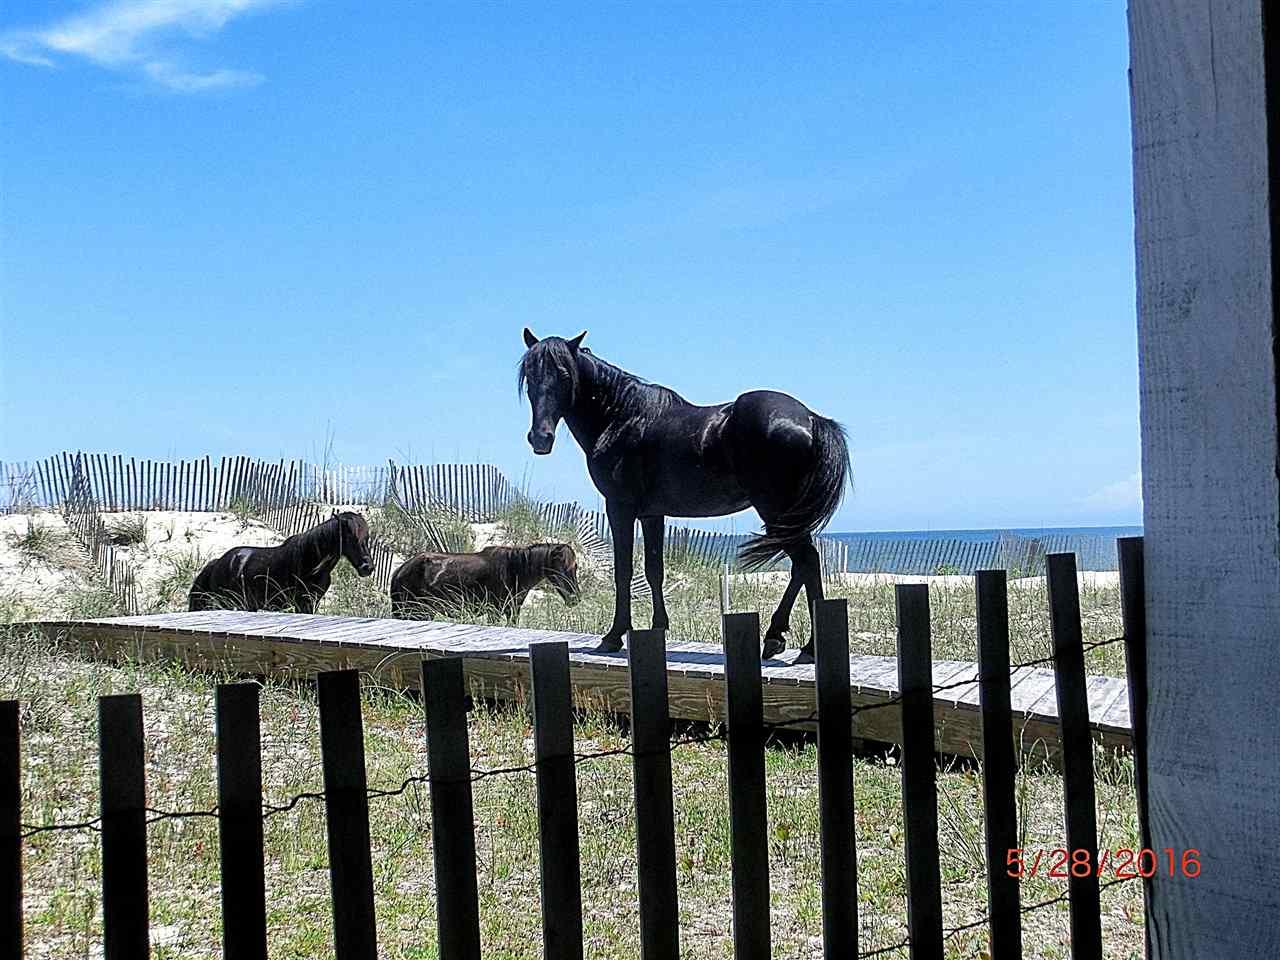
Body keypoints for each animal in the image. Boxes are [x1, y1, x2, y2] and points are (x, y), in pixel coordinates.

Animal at [386, 545, 583, 627]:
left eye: (575, 567)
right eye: (562, 569)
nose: (575, 598)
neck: (515, 569)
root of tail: (400, 570)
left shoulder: (512, 612)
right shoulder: (493, 612)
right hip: (415, 612)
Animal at [519, 330, 849, 660]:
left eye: (564, 375)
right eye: (530, 375)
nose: (540, 438)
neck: (620, 419)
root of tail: (810, 419)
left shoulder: (620, 508)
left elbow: (623, 571)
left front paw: (614, 635)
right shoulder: (652, 514)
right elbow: (654, 570)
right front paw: (658, 627)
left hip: (775, 509)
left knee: (806, 561)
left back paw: (802, 645)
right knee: (802, 566)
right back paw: (780, 638)